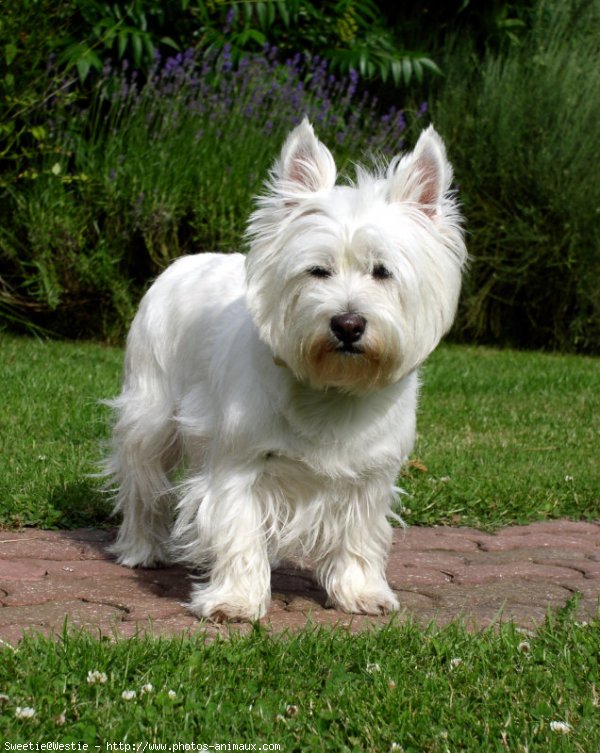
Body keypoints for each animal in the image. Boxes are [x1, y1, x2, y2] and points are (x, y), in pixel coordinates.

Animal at [105, 120, 466, 620]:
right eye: (317, 271)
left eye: (382, 272)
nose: (348, 324)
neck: (331, 389)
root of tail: (185, 259)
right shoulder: (238, 463)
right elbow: (237, 531)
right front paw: (235, 600)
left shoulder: (370, 476)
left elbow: (359, 537)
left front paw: (361, 592)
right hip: (151, 412)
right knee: (143, 480)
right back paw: (142, 549)